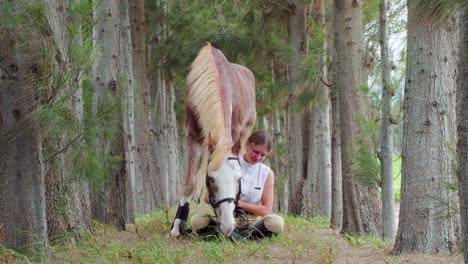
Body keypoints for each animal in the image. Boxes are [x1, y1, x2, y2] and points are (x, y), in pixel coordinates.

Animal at [170, 43, 256, 237]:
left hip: (246, 130)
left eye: (238, 180)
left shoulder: (234, 132)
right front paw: (177, 226)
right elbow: (190, 181)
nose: (227, 226)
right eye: (211, 180)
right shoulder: (192, 135)